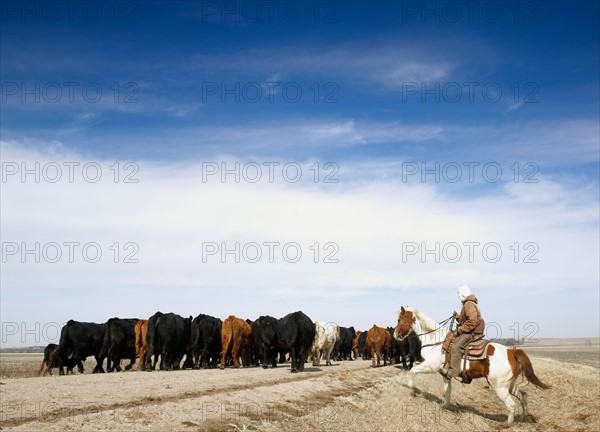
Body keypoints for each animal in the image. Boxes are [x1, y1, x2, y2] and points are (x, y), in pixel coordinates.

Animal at [392, 306, 552, 424]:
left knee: (511, 405)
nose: (395, 335)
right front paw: (445, 405)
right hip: (509, 385)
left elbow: (412, 371)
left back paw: (507, 424)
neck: (435, 340)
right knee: (524, 396)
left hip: (499, 387)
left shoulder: (431, 366)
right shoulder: (445, 373)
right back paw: (524, 417)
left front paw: (413, 390)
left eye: (399, 319)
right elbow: (447, 391)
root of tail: (511, 352)